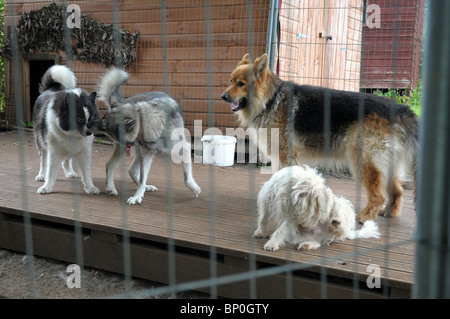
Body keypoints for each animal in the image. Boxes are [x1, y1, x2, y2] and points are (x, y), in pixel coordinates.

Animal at [88, 69, 200, 205]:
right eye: (102, 118)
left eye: (105, 126)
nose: (88, 124)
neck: (143, 120)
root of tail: (125, 101)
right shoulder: (146, 155)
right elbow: (142, 178)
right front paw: (137, 196)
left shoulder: (185, 149)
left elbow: (186, 178)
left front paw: (195, 189)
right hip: (129, 149)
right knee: (113, 165)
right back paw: (113, 187)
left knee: (131, 170)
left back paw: (145, 187)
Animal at [221, 53, 418, 224]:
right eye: (230, 81)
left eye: (241, 84)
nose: (223, 96)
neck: (271, 99)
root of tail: (398, 107)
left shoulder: (285, 156)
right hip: (386, 165)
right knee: (397, 192)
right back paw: (389, 212)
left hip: (363, 162)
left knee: (379, 196)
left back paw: (364, 217)